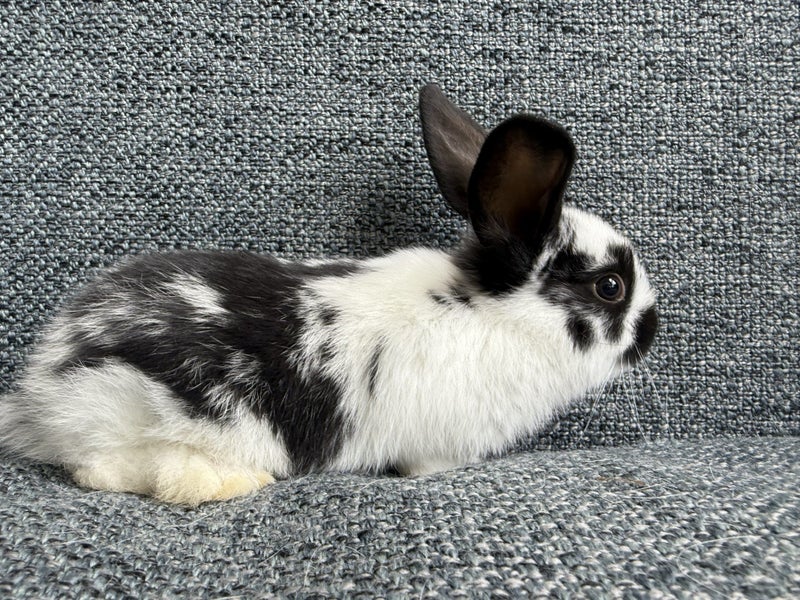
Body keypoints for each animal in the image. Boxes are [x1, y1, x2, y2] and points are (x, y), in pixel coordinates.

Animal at [0, 84, 658, 505]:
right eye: (610, 286)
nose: (653, 328)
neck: (495, 313)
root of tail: (42, 389)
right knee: (103, 471)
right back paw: (229, 484)